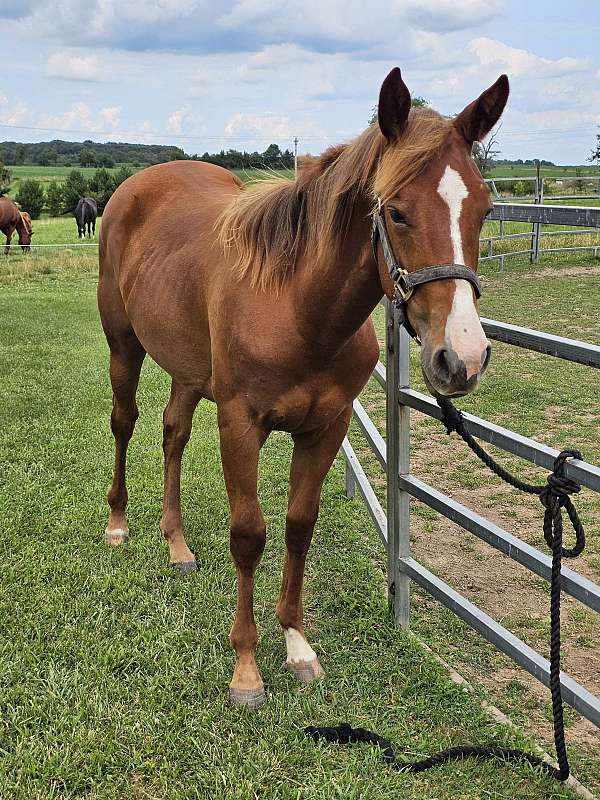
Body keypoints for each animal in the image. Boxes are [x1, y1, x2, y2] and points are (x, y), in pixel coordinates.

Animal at [99, 69, 510, 708]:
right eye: (397, 213)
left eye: (485, 210)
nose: (461, 358)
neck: (296, 308)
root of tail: (136, 188)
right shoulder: (240, 425)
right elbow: (249, 535)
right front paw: (246, 669)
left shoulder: (325, 427)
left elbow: (298, 526)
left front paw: (295, 643)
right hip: (125, 348)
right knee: (125, 423)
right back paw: (118, 524)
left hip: (189, 371)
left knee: (173, 434)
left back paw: (178, 545)